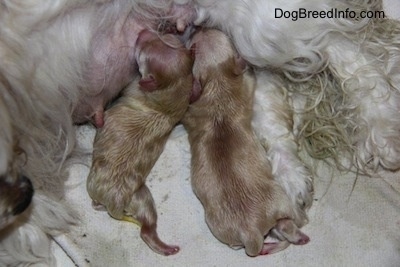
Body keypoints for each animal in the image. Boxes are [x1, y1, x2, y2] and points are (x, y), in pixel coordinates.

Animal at [86, 29, 195, 258]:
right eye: (166, 38)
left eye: (143, 54)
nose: (143, 31)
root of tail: (117, 201)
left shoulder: (133, 86)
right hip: (140, 197)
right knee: (148, 223)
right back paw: (166, 247)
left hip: (103, 188)